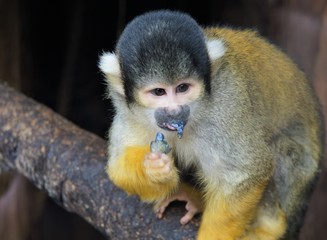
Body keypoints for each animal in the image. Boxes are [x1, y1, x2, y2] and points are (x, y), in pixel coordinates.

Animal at [98, 9, 324, 240]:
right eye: (159, 92)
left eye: (182, 88)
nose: (175, 111)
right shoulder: (128, 110)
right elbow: (118, 168)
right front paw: (154, 169)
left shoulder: (227, 102)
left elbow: (246, 173)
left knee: (281, 151)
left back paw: (269, 227)